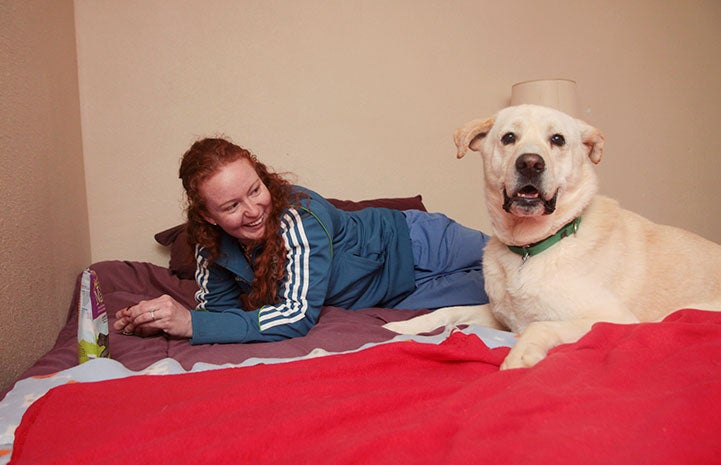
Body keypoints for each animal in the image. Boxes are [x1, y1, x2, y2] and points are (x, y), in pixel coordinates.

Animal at [386, 104, 720, 370]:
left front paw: (518, 356)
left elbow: (541, 326)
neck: (529, 249)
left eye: (557, 140)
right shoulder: (498, 315)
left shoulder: (614, 319)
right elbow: (448, 311)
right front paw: (402, 325)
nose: (530, 163)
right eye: (509, 138)